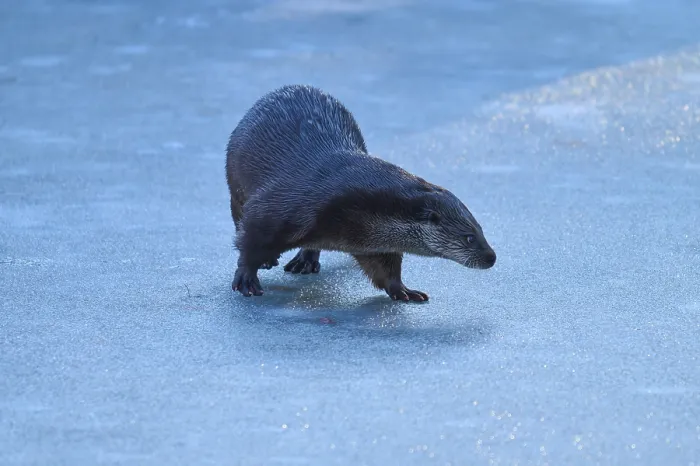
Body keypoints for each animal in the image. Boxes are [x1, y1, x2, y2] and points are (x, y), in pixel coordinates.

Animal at [225, 84, 496, 301]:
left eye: (481, 230)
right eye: (469, 238)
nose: (491, 257)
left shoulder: (374, 244)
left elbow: (385, 268)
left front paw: (403, 290)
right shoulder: (279, 206)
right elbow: (251, 241)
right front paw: (247, 278)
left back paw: (306, 261)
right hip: (235, 189)